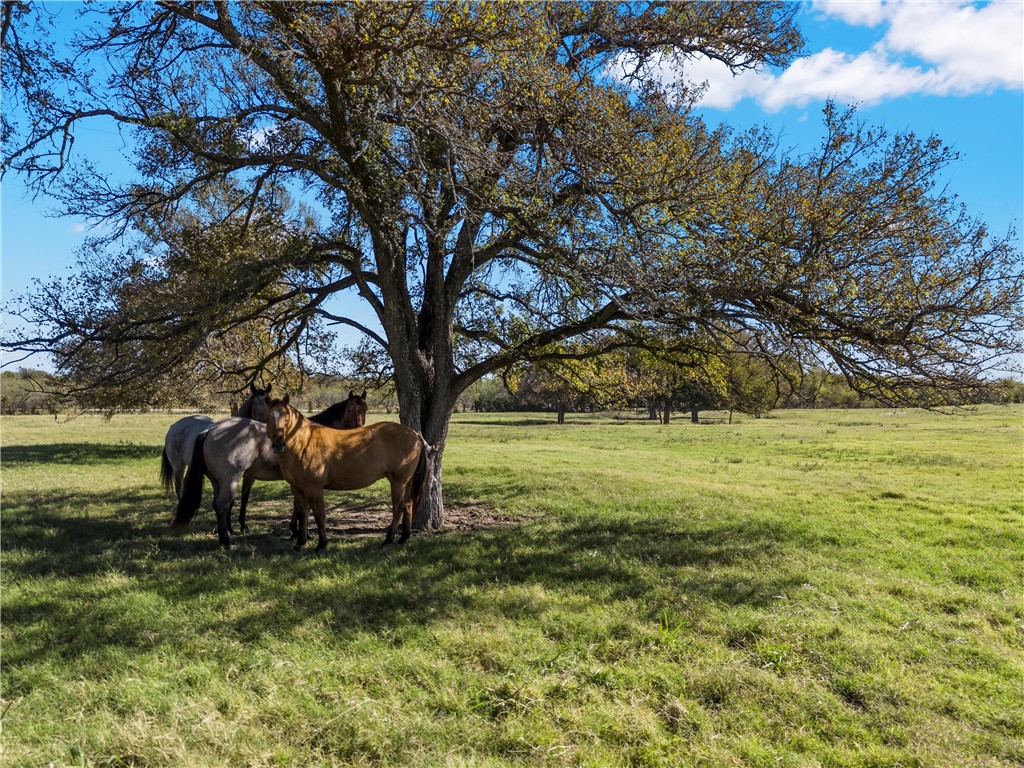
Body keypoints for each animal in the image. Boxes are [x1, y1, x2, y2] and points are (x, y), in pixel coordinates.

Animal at [172, 391, 368, 548]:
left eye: (365, 409)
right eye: (350, 410)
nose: (360, 434)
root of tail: (210, 430)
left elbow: (299, 507)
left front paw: (296, 531)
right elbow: (303, 508)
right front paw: (300, 533)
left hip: (217, 481)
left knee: (219, 505)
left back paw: (227, 535)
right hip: (230, 480)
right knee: (222, 505)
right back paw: (227, 542)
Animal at [264, 393, 428, 548]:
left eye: (286, 417)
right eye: (268, 418)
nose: (278, 444)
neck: (304, 442)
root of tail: (415, 434)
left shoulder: (314, 488)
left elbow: (319, 515)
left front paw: (321, 544)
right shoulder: (297, 488)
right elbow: (302, 514)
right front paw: (300, 543)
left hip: (398, 482)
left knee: (398, 508)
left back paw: (388, 540)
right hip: (406, 482)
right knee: (407, 505)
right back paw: (403, 537)